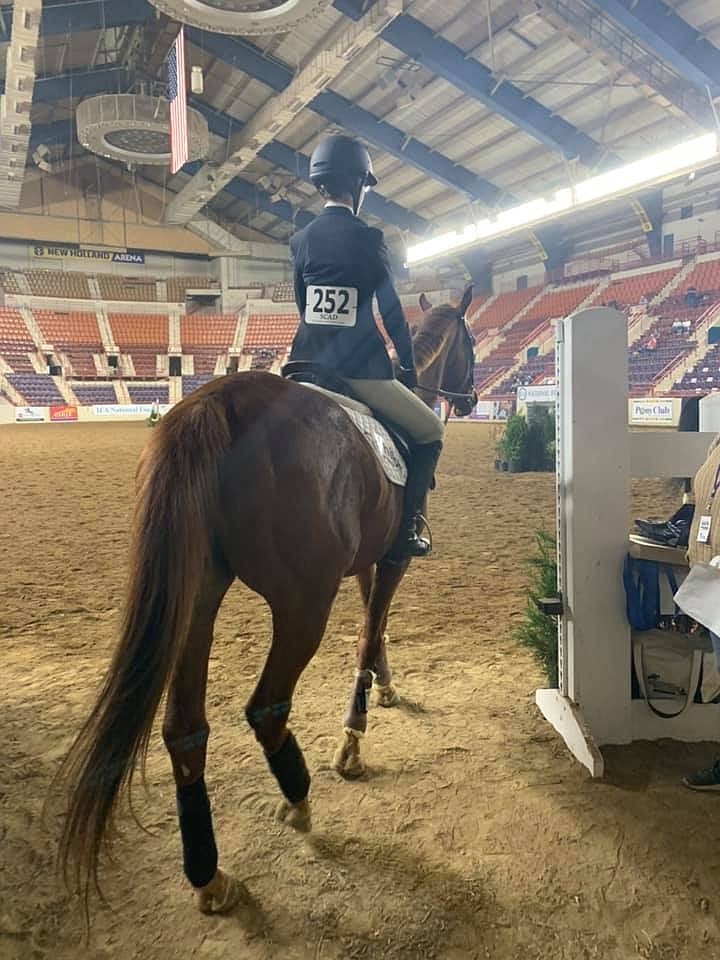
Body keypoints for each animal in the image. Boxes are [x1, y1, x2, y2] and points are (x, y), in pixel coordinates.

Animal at [56, 284, 478, 916]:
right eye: (472, 344)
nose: (472, 397)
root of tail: (217, 404)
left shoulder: (369, 558)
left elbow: (373, 627)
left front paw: (385, 687)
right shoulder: (395, 556)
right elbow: (370, 628)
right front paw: (352, 741)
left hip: (197, 602)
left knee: (184, 729)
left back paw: (209, 876)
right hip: (303, 605)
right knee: (266, 707)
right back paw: (299, 802)